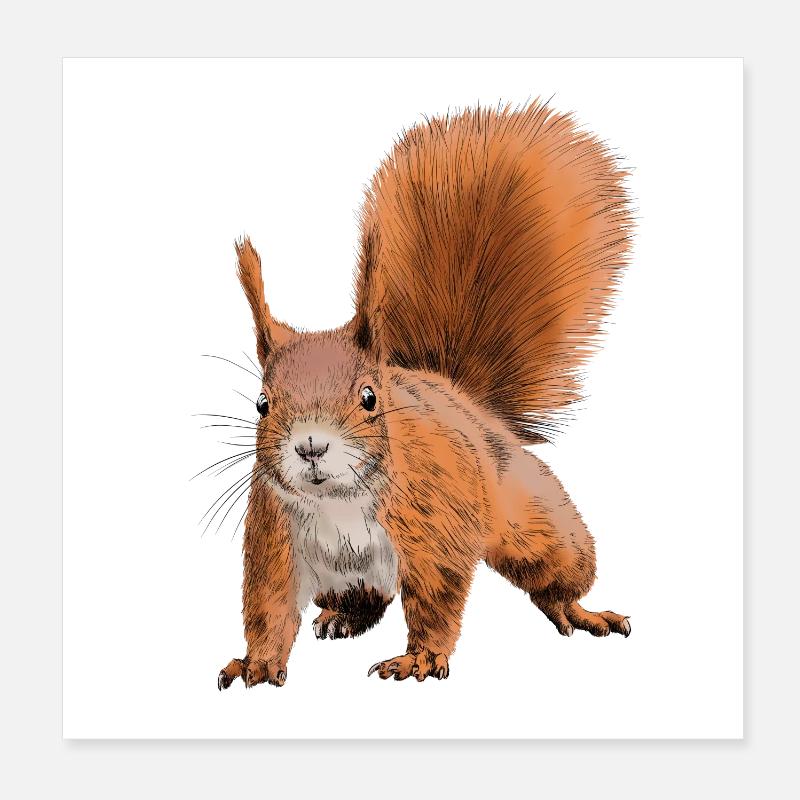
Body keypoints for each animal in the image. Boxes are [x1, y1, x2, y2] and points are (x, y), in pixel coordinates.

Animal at [216, 101, 633, 689]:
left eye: (370, 397)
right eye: (262, 404)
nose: (311, 446)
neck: (338, 502)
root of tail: (458, 393)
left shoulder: (435, 522)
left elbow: (436, 597)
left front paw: (418, 659)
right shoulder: (274, 537)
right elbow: (268, 607)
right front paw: (255, 662)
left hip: (532, 517)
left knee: (554, 570)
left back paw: (579, 609)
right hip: (344, 577)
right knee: (367, 598)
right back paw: (341, 616)